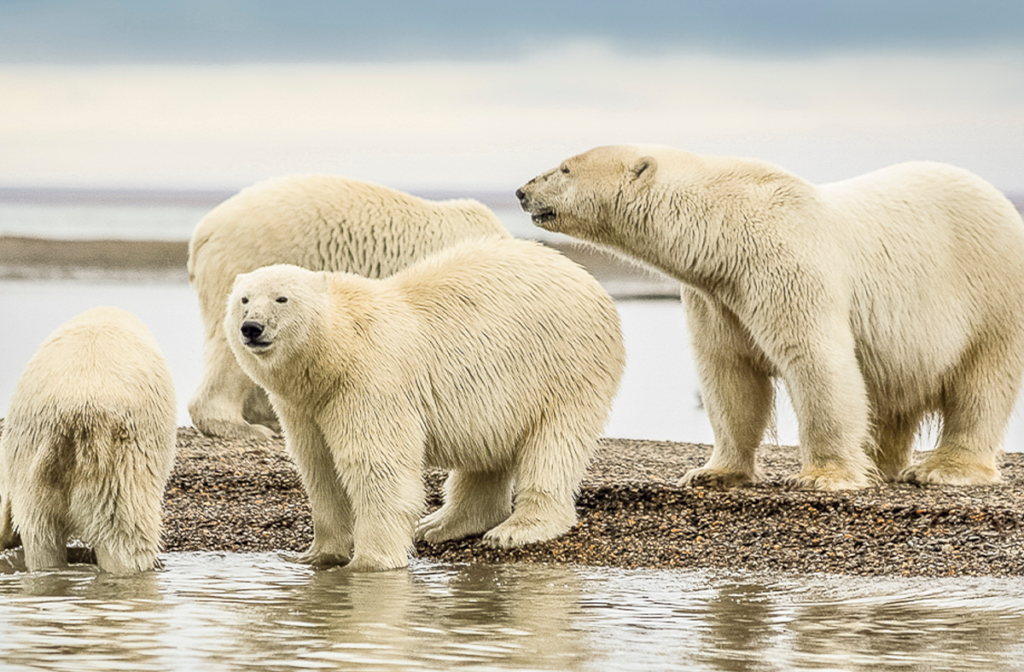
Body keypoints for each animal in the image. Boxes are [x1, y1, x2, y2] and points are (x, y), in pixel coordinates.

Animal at [224, 237, 625, 571]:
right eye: (244, 299)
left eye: (282, 298)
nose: (252, 327)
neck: (336, 352)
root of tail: (585, 277)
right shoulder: (304, 405)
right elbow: (319, 467)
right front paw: (317, 554)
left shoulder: (370, 382)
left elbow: (377, 467)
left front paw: (369, 562)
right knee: (487, 452)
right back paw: (442, 524)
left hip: (563, 366)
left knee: (554, 444)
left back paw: (515, 529)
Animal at [517, 144, 1024, 491]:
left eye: (565, 167)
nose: (522, 191)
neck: (726, 229)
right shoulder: (716, 296)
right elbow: (729, 374)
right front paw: (711, 472)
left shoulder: (787, 267)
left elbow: (817, 360)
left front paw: (823, 476)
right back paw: (880, 464)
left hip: (991, 292)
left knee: (982, 382)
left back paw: (946, 468)